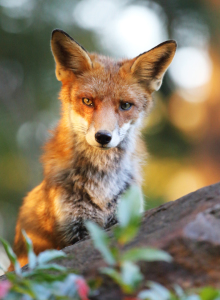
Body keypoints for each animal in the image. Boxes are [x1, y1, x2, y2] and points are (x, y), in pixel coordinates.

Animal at [11, 29, 177, 268]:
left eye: (125, 105)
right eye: (88, 101)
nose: (103, 137)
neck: (102, 182)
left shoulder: (124, 219)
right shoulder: (74, 229)